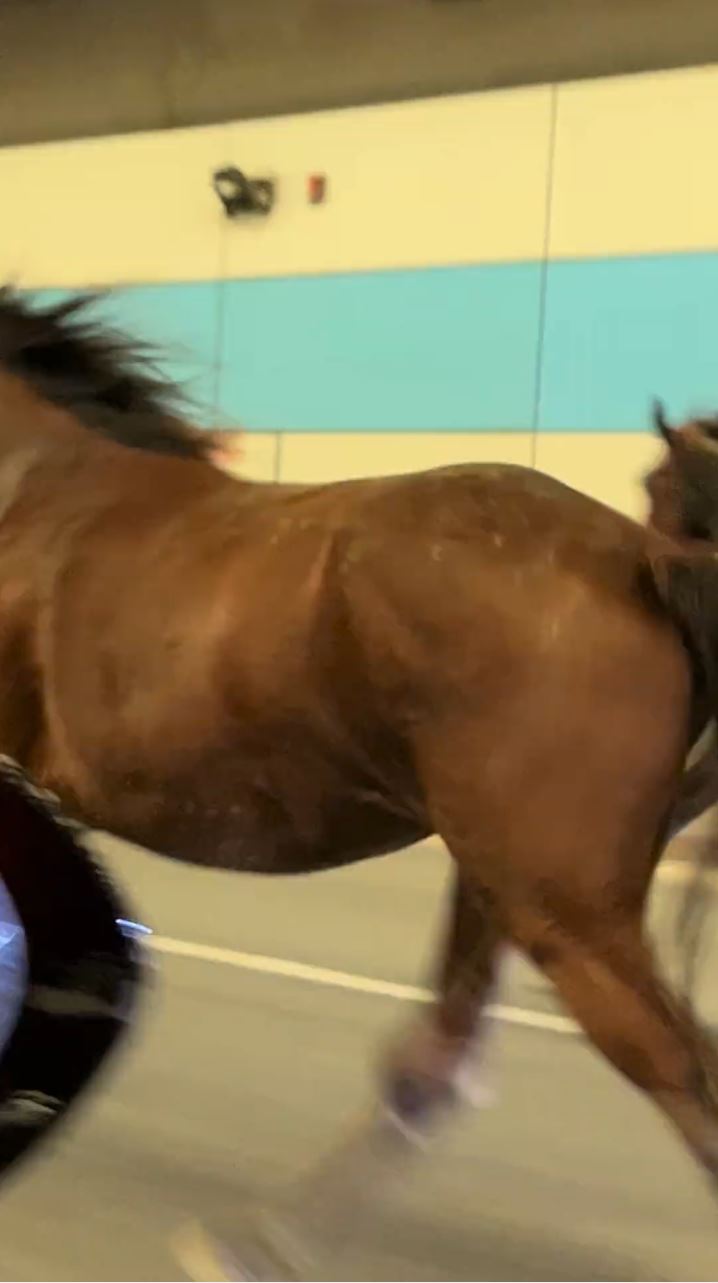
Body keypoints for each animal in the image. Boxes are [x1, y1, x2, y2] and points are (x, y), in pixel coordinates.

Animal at [0, 287, 716, 1279]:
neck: (28, 487)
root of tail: (642, 561)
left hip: (565, 915)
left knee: (676, 1074)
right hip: (501, 884)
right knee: (435, 1060)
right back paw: (258, 1240)